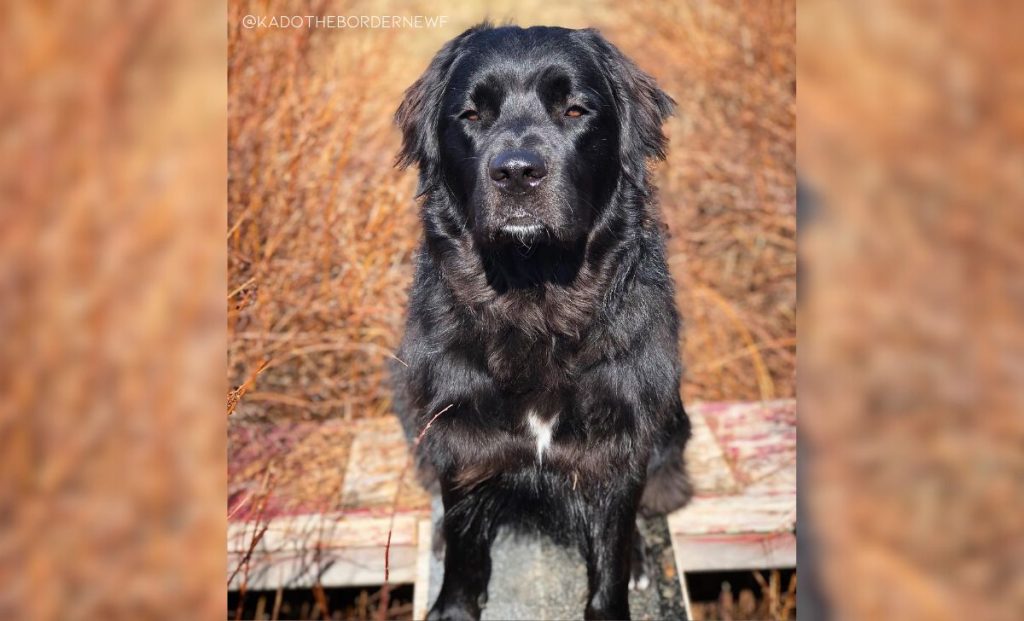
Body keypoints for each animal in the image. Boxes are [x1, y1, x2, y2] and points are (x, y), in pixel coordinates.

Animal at [391, 24, 696, 621]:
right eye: (471, 115)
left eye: (575, 109)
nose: (516, 172)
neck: (535, 295)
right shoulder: (461, 430)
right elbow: (465, 545)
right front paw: (453, 605)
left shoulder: (620, 435)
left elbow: (611, 551)